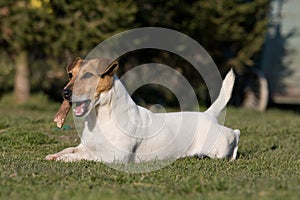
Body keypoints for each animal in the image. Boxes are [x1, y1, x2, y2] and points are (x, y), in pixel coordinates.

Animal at [45, 57, 240, 162]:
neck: (100, 118)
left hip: (217, 147)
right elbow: (69, 149)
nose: (65, 93)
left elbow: (84, 157)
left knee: (235, 133)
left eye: (87, 75)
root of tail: (208, 115)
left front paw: (65, 159)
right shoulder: (86, 147)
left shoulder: (114, 156)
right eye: (70, 75)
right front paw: (55, 155)